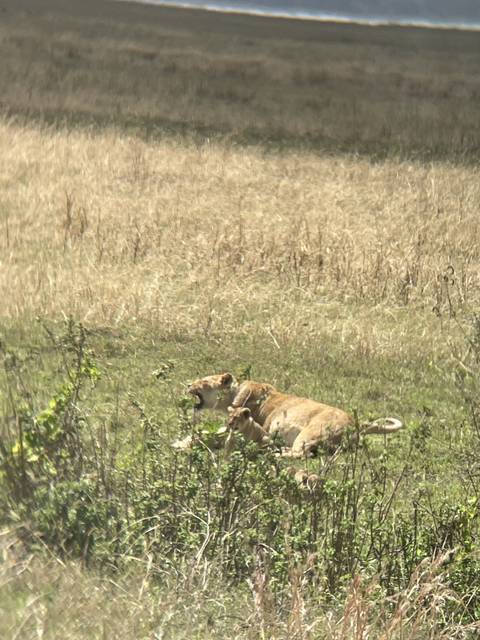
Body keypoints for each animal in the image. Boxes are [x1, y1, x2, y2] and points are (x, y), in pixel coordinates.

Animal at [188, 372, 403, 457]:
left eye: (204, 381)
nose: (189, 384)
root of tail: (355, 422)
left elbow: (205, 436)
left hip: (310, 432)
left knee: (301, 453)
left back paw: (276, 451)